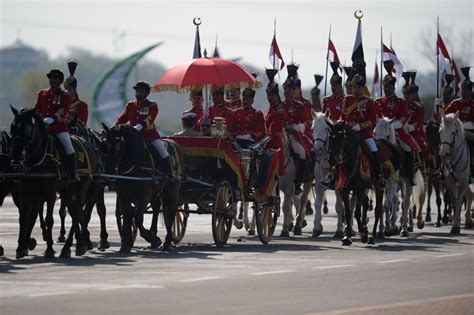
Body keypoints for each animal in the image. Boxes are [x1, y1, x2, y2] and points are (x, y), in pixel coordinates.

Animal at [9, 107, 97, 260]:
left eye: (28, 128)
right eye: (13, 126)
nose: (16, 153)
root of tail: (85, 142)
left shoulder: (50, 194)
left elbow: (49, 219)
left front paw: (49, 249)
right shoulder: (25, 193)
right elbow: (24, 218)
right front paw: (21, 247)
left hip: (81, 188)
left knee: (77, 212)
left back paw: (71, 247)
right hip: (67, 191)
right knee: (73, 212)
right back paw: (75, 245)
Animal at [103, 124, 181, 253]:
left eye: (118, 145)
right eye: (103, 143)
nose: (108, 172)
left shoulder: (144, 195)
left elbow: (138, 217)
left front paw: (150, 237)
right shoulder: (123, 195)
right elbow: (128, 215)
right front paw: (126, 243)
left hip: (171, 191)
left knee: (171, 211)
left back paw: (167, 241)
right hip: (155, 193)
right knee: (156, 207)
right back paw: (154, 233)